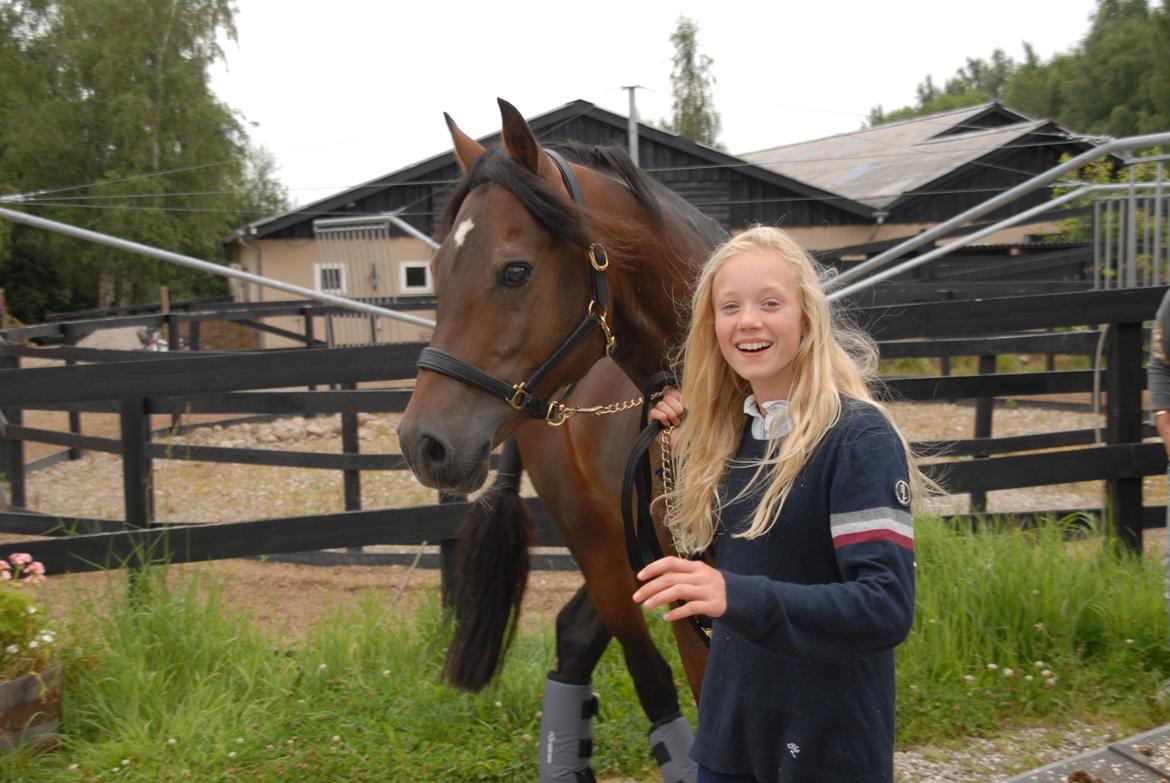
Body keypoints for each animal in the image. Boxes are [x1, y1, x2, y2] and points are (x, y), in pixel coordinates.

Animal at [397, 100, 716, 777]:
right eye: (432, 273)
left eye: (515, 271)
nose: (423, 443)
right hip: (600, 545)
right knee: (641, 673)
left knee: (576, 636)